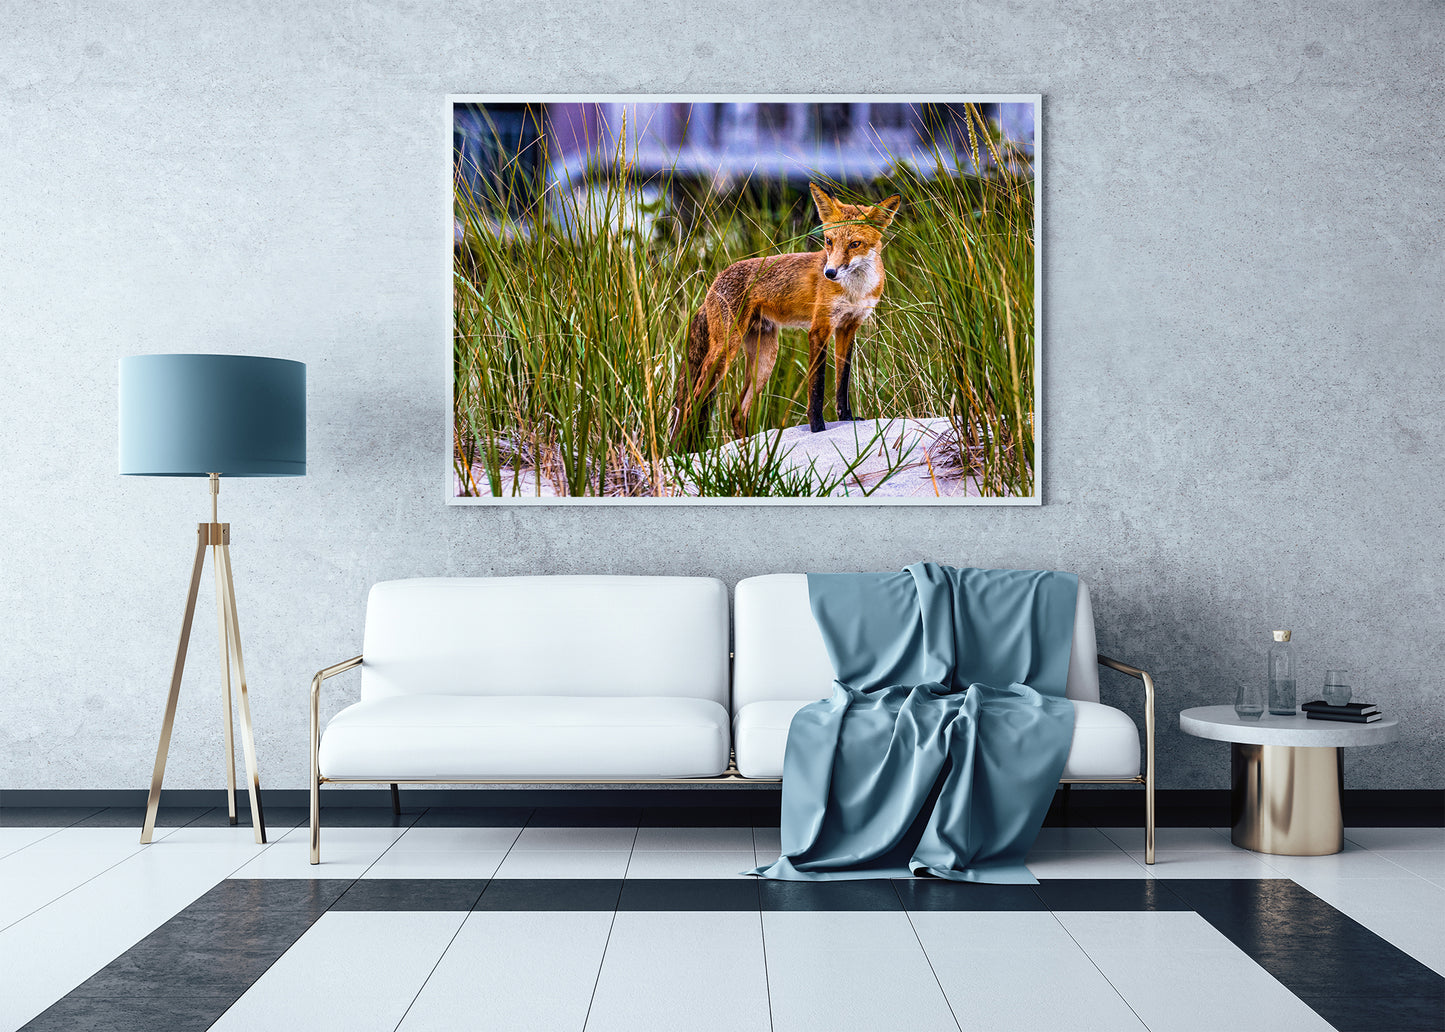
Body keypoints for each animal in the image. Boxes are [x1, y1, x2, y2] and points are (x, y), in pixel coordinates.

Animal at [670, 183, 902, 447]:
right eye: (829, 241)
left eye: (855, 244)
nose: (830, 273)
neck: (854, 290)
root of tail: (713, 284)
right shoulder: (820, 329)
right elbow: (817, 387)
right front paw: (817, 429)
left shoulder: (848, 327)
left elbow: (842, 381)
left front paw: (847, 418)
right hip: (725, 351)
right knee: (689, 407)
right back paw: (681, 452)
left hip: (765, 359)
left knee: (736, 411)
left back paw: (747, 450)